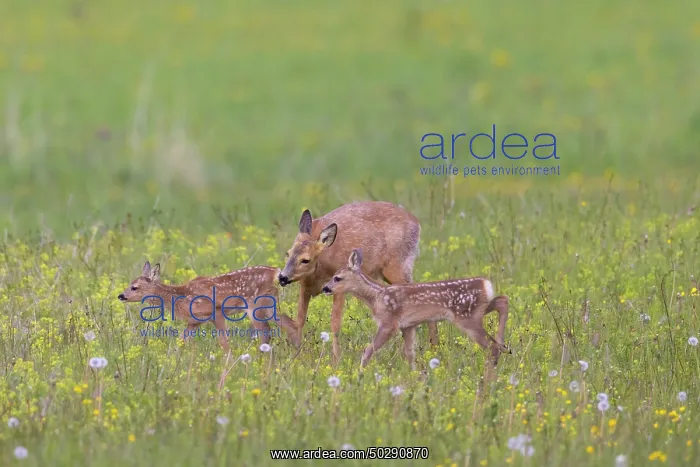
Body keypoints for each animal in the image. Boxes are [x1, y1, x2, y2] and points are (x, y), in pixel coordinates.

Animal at [117, 261, 300, 354]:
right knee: (289, 324)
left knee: (266, 331)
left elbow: (224, 342)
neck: (180, 297)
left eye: (134, 287)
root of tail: (276, 272)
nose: (121, 296)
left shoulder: (216, 311)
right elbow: (181, 341)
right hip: (270, 303)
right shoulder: (194, 321)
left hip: (254, 305)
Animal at [277, 201, 439, 362]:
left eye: (305, 260)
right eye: (288, 253)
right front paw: (296, 355)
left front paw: (336, 360)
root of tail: (416, 222)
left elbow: (335, 323)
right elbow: (300, 319)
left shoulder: (339, 285)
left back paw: (432, 349)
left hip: (398, 267)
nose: (282, 277)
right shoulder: (305, 287)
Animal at [321, 249, 510, 370]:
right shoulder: (408, 325)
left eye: (337, 278)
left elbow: (369, 349)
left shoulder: (389, 322)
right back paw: (503, 345)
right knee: (502, 300)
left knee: (491, 346)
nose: (325, 288)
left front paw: (360, 372)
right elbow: (410, 353)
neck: (376, 297)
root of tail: (485, 284)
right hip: (477, 310)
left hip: (467, 317)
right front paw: (415, 377)